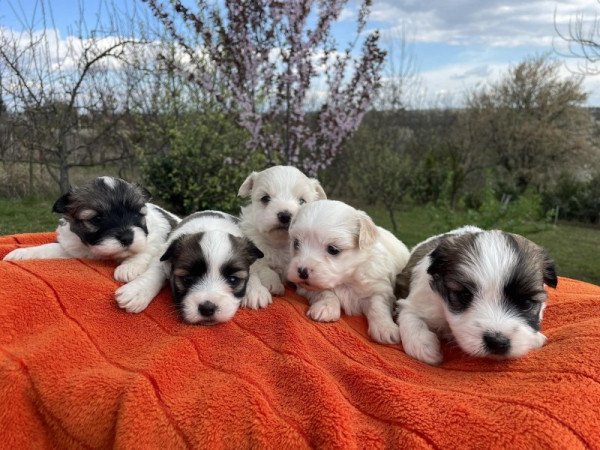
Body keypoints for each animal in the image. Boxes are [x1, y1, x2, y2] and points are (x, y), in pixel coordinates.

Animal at [3, 176, 179, 282]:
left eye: (137, 213)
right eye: (97, 219)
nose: (127, 238)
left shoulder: (154, 237)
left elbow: (144, 250)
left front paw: (128, 267)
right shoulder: (72, 247)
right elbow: (48, 248)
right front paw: (23, 253)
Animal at [115, 211, 270, 324]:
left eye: (233, 280)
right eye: (188, 278)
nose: (207, 309)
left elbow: (253, 271)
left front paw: (255, 290)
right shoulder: (162, 255)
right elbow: (154, 272)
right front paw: (136, 291)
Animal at [284, 200, 408, 344]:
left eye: (333, 249)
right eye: (296, 243)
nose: (302, 271)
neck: (346, 280)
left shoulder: (379, 286)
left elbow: (378, 305)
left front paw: (385, 328)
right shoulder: (306, 288)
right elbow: (325, 292)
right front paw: (326, 307)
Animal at [396, 225, 560, 366]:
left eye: (526, 304)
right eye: (464, 295)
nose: (497, 342)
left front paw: (535, 338)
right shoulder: (420, 301)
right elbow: (410, 317)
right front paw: (423, 345)